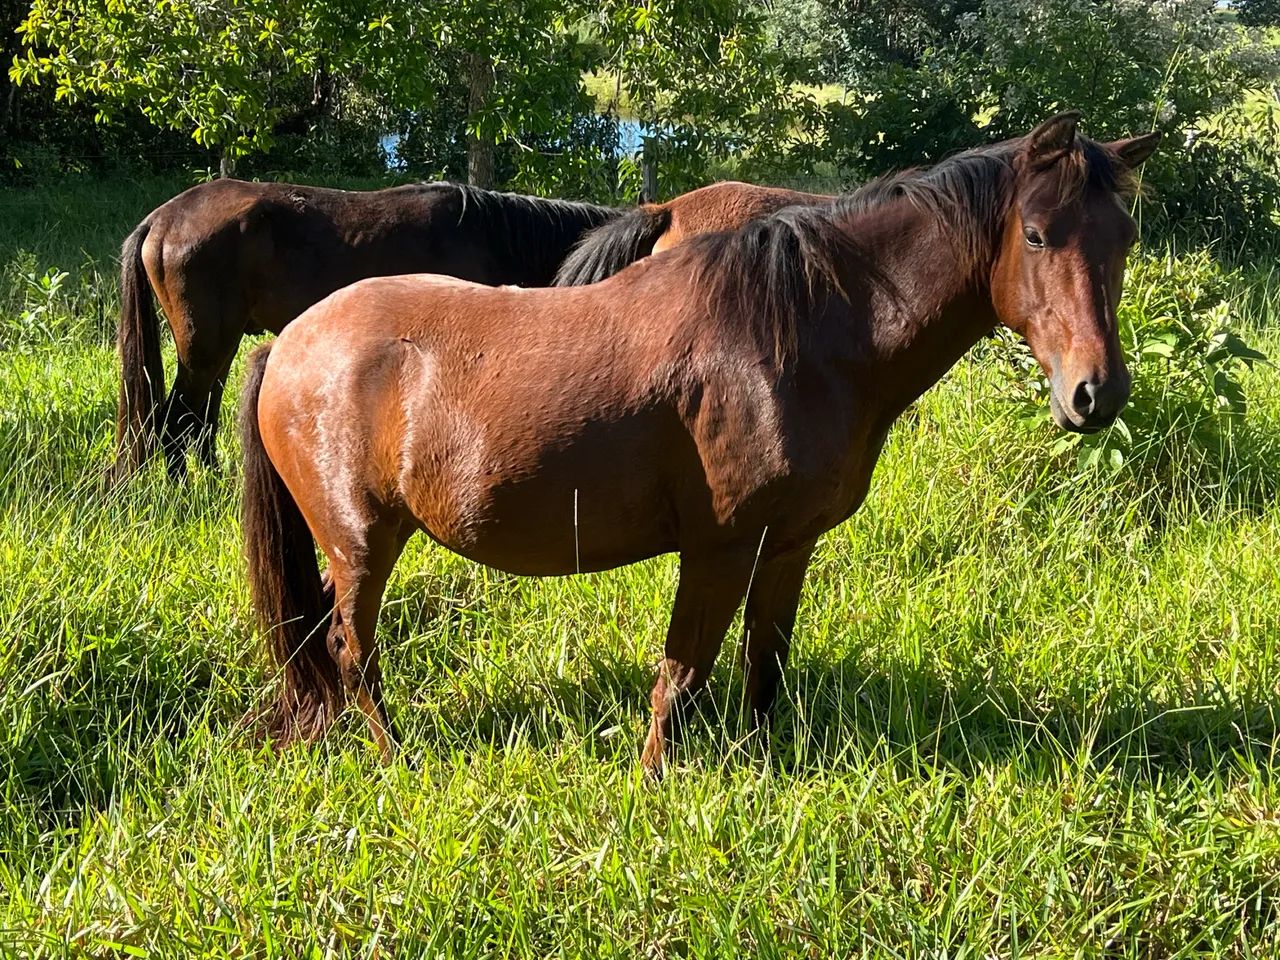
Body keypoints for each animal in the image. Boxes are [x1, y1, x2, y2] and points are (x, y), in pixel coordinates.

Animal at [113, 180, 620, 480]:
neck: (492, 237)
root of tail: (162, 219)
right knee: (177, 418)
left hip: (220, 345)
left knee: (199, 418)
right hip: (206, 344)